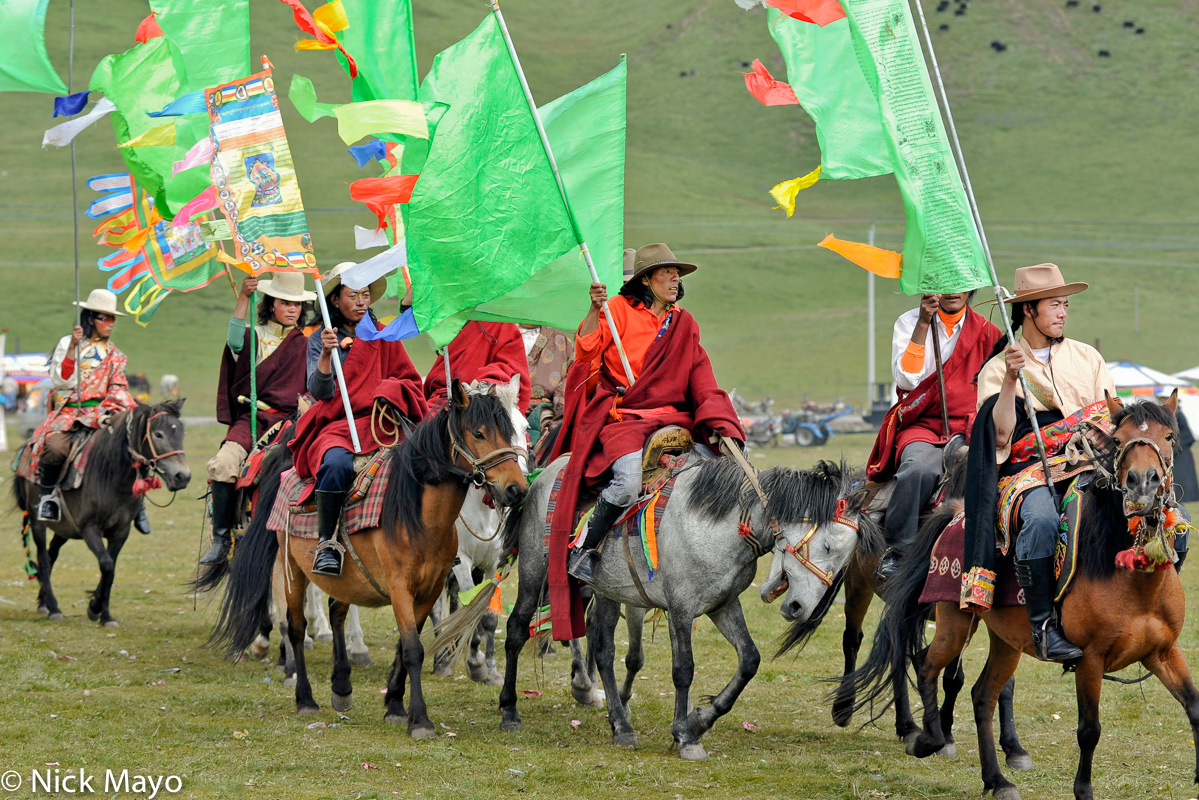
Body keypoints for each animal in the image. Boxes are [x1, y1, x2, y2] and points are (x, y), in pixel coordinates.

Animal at [10, 398, 190, 623]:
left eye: (181, 432)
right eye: (158, 434)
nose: (183, 477)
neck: (113, 477)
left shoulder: (121, 531)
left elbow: (111, 569)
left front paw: (103, 612)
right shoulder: (90, 529)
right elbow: (106, 564)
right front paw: (96, 607)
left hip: (65, 529)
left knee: (52, 555)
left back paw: (43, 603)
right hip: (37, 522)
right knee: (43, 559)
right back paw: (53, 608)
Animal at [209, 379, 525, 743]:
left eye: (513, 432)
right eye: (478, 433)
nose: (517, 489)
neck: (418, 513)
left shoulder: (430, 588)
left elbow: (406, 645)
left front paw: (395, 705)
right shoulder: (401, 586)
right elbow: (413, 649)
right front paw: (419, 719)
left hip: (346, 577)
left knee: (336, 613)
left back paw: (342, 686)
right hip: (291, 568)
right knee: (296, 627)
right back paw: (305, 697)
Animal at [489, 453, 882, 762]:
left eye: (846, 561)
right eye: (828, 546)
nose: (800, 607)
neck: (718, 525)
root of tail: (544, 473)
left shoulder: (723, 605)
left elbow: (749, 660)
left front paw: (700, 719)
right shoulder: (681, 608)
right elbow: (684, 670)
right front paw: (685, 735)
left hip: (607, 591)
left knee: (602, 649)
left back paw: (621, 725)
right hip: (534, 571)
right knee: (516, 629)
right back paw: (509, 711)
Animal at [757, 450, 1031, 767]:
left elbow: (1000, 683)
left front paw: (1013, 746)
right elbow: (953, 676)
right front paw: (946, 734)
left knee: (896, 651)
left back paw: (907, 725)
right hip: (859, 585)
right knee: (854, 640)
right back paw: (847, 707)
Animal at [848, 393, 1194, 800]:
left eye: (1169, 436)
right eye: (1118, 439)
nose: (1143, 483)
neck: (1129, 578)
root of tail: (954, 512)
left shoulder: (1163, 651)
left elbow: (1194, 707)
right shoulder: (1091, 659)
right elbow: (1089, 730)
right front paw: (1083, 790)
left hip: (1006, 639)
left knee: (982, 694)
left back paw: (997, 780)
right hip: (953, 622)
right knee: (924, 663)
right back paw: (926, 739)